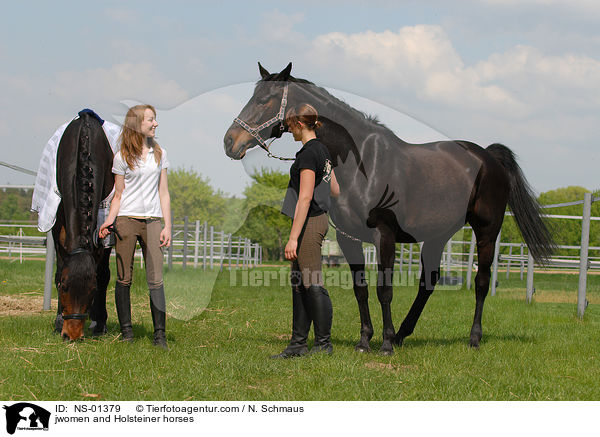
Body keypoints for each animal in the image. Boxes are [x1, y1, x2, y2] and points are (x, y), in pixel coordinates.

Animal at [53, 111, 115, 340]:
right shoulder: (57, 226)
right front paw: (58, 321)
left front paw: (100, 323)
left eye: (91, 290)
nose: (71, 334)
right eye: (63, 286)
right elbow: (59, 268)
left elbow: (103, 274)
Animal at [223, 62, 556, 354]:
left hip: (487, 231)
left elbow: (385, 290)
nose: (230, 142)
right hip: (437, 235)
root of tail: (488, 157)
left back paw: (471, 339)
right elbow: (360, 289)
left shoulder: (384, 235)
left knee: (481, 282)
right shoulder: (348, 238)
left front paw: (383, 344)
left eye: (264, 100)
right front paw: (364, 341)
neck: (361, 162)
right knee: (428, 283)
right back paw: (403, 333)